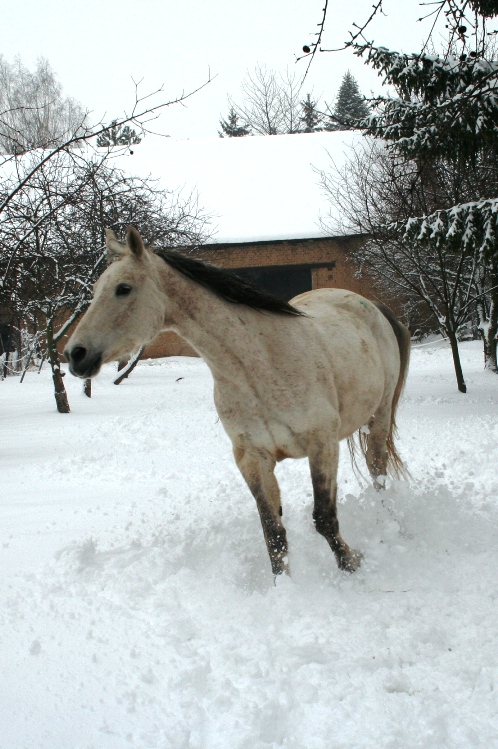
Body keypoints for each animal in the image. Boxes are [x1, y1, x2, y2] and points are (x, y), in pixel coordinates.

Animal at [65, 225, 408, 576]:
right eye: (95, 290)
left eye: (123, 288)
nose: (75, 354)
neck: (260, 365)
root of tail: (371, 306)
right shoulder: (252, 458)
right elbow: (273, 534)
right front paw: (284, 585)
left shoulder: (322, 445)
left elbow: (324, 518)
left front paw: (352, 565)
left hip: (379, 418)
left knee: (377, 471)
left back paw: (387, 522)